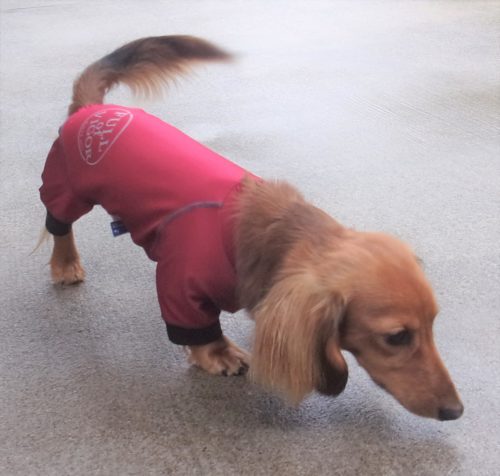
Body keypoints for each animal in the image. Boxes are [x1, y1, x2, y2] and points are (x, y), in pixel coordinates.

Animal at [39, 35, 463, 420]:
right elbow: (198, 327)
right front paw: (218, 353)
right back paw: (65, 264)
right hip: (68, 187)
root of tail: (94, 109)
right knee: (60, 224)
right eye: (397, 337)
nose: (455, 411)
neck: (276, 235)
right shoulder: (179, 284)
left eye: (433, 323)